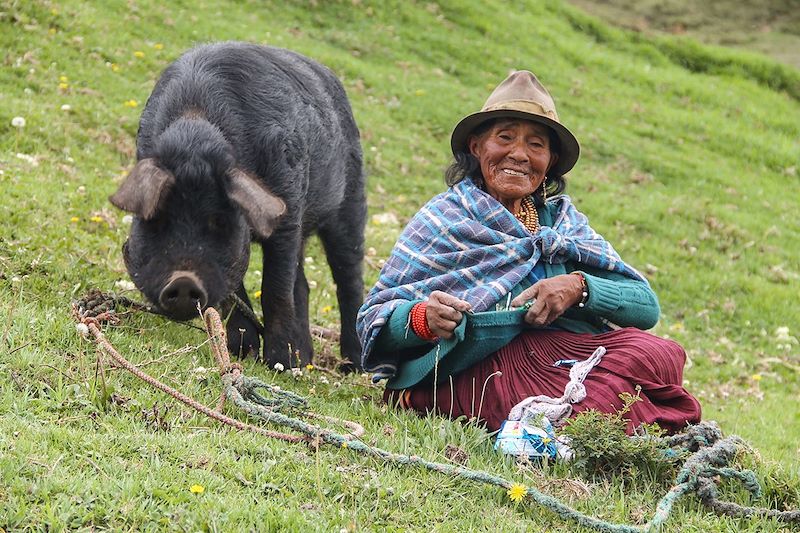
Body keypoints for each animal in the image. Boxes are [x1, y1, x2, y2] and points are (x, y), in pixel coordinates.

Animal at [109, 42, 366, 370]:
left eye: (220, 222)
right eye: (156, 220)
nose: (183, 281)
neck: (196, 126)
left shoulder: (288, 208)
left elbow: (275, 288)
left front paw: (278, 363)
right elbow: (235, 291)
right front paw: (243, 352)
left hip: (351, 201)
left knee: (348, 280)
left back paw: (350, 366)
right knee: (304, 285)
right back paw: (303, 359)